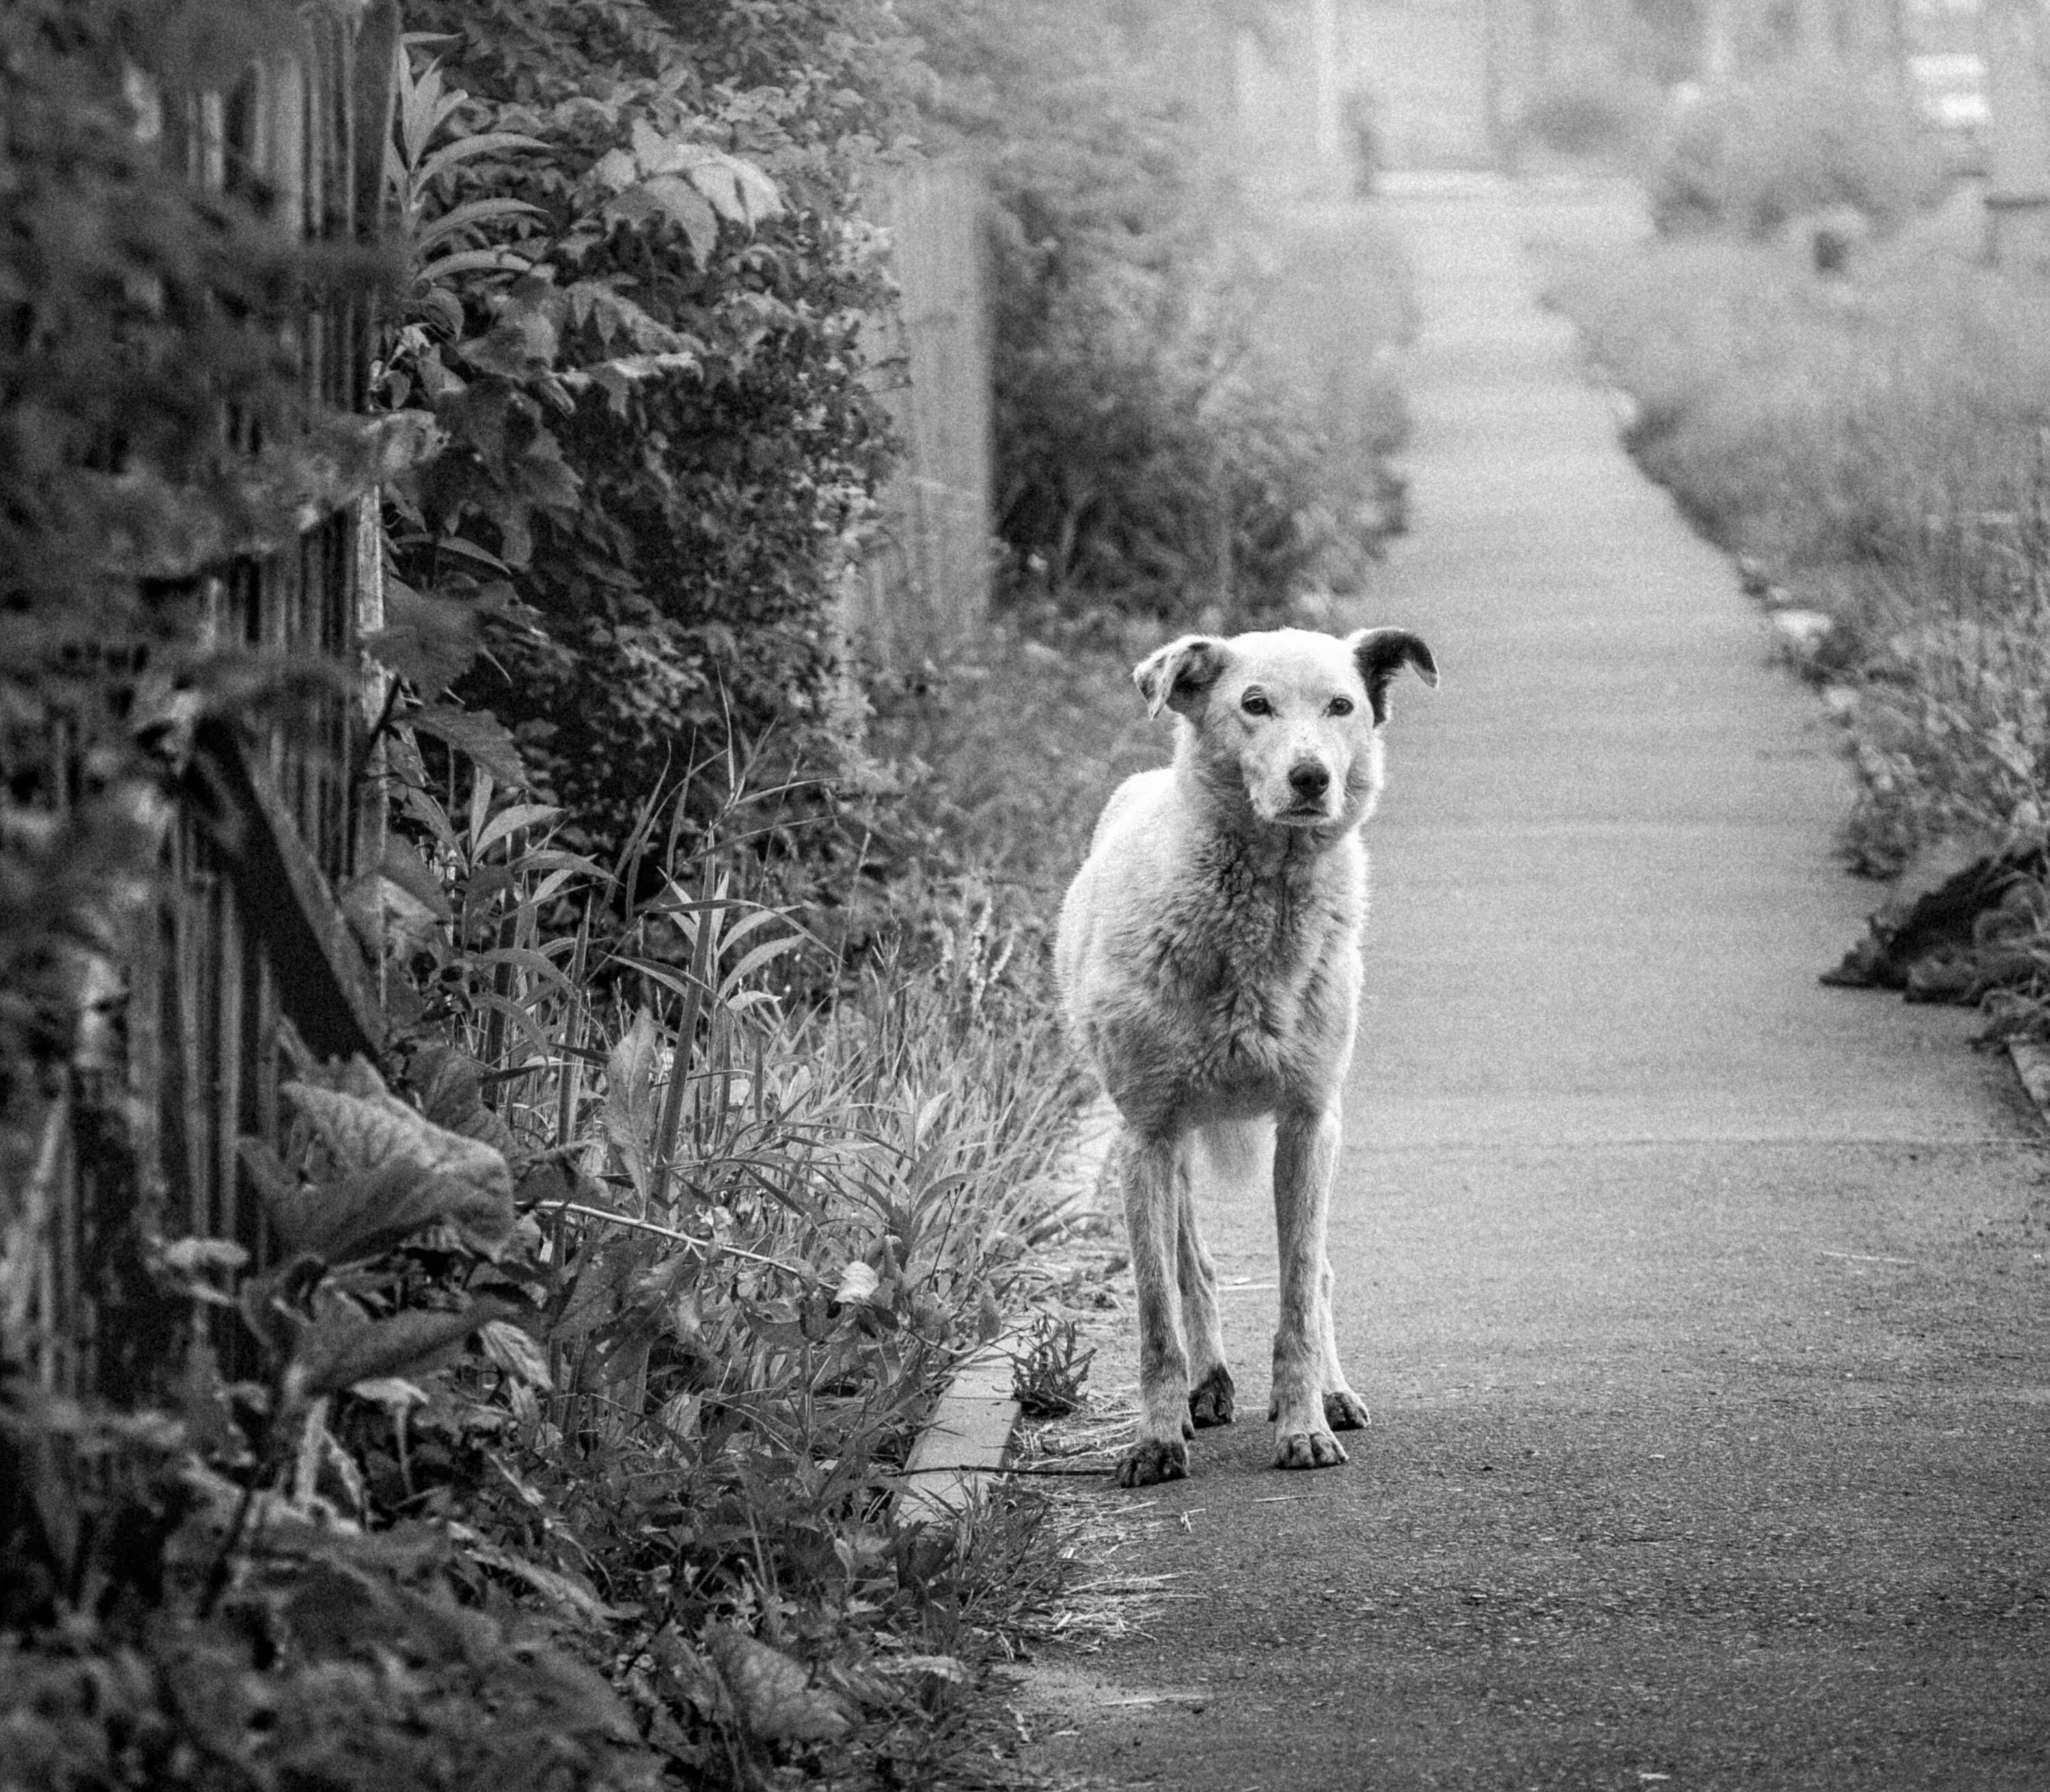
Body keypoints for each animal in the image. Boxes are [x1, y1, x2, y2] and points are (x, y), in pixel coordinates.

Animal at [1066, 623, 1435, 1484]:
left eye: (1342, 706)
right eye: (1254, 704)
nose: (1312, 778)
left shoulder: (1307, 1123)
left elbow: (1298, 1289)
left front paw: (1304, 1428)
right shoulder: (1146, 1135)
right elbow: (1155, 1310)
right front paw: (1156, 1440)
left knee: (1320, 1271)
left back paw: (1332, 1393)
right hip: (1167, 1148)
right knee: (1191, 1268)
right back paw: (1206, 1389)